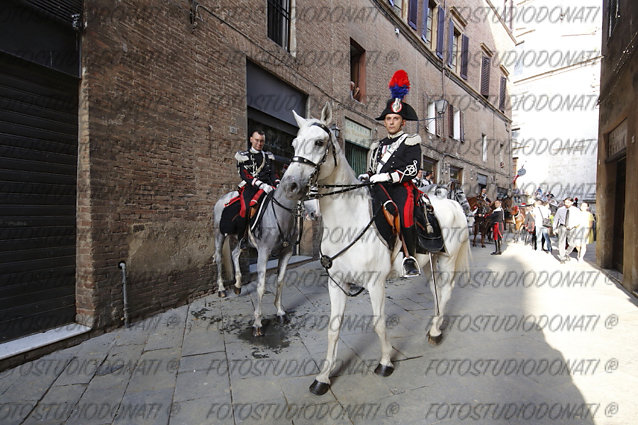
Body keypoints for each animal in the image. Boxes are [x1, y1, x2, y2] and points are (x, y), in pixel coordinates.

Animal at [212, 187, 320, 336]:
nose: (315, 214)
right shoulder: (263, 253)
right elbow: (261, 287)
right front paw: (257, 323)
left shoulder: (287, 253)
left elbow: (280, 281)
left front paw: (280, 312)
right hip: (219, 234)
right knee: (218, 257)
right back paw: (221, 289)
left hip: (242, 240)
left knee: (234, 254)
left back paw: (238, 285)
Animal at [282, 102, 472, 394]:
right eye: (294, 143)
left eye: (319, 142)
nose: (289, 185)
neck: (347, 221)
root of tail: (453, 204)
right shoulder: (336, 282)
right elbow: (333, 328)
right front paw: (323, 376)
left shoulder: (375, 283)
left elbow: (379, 323)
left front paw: (385, 362)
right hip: (429, 263)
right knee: (436, 292)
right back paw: (433, 324)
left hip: (447, 260)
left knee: (447, 291)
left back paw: (436, 332)